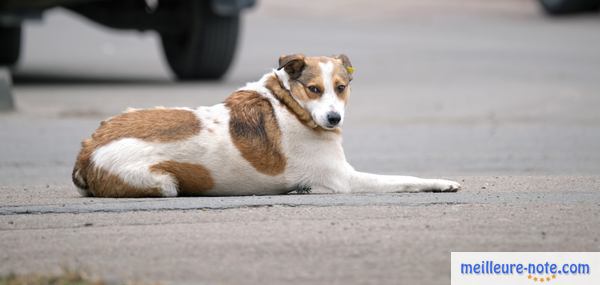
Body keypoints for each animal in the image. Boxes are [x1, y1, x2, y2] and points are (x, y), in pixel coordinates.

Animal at [72, 53, 462, 196]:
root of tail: (87, 151)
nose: (333, 118)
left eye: (341, 87)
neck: (290, 106)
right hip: (163, 183)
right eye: (313, 89)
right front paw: (443, 182)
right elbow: (406, 178)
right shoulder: (345, 179)